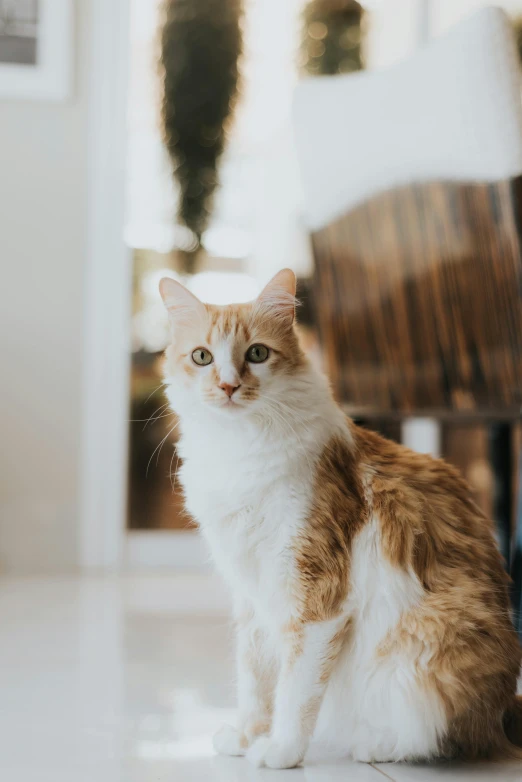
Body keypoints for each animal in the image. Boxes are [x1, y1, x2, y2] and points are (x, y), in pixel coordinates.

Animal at [158, 270, 520, 772]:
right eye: (202, 357)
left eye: (257, 354)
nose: (229, 387)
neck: (239, 448)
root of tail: (505, 712)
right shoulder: (252, 596)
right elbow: (255, 680)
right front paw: (249, 737)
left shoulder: (316, 595)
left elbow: (295, 690)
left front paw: (282, 751)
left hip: (426, 646)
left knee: (443, 736)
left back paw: (377, 745)